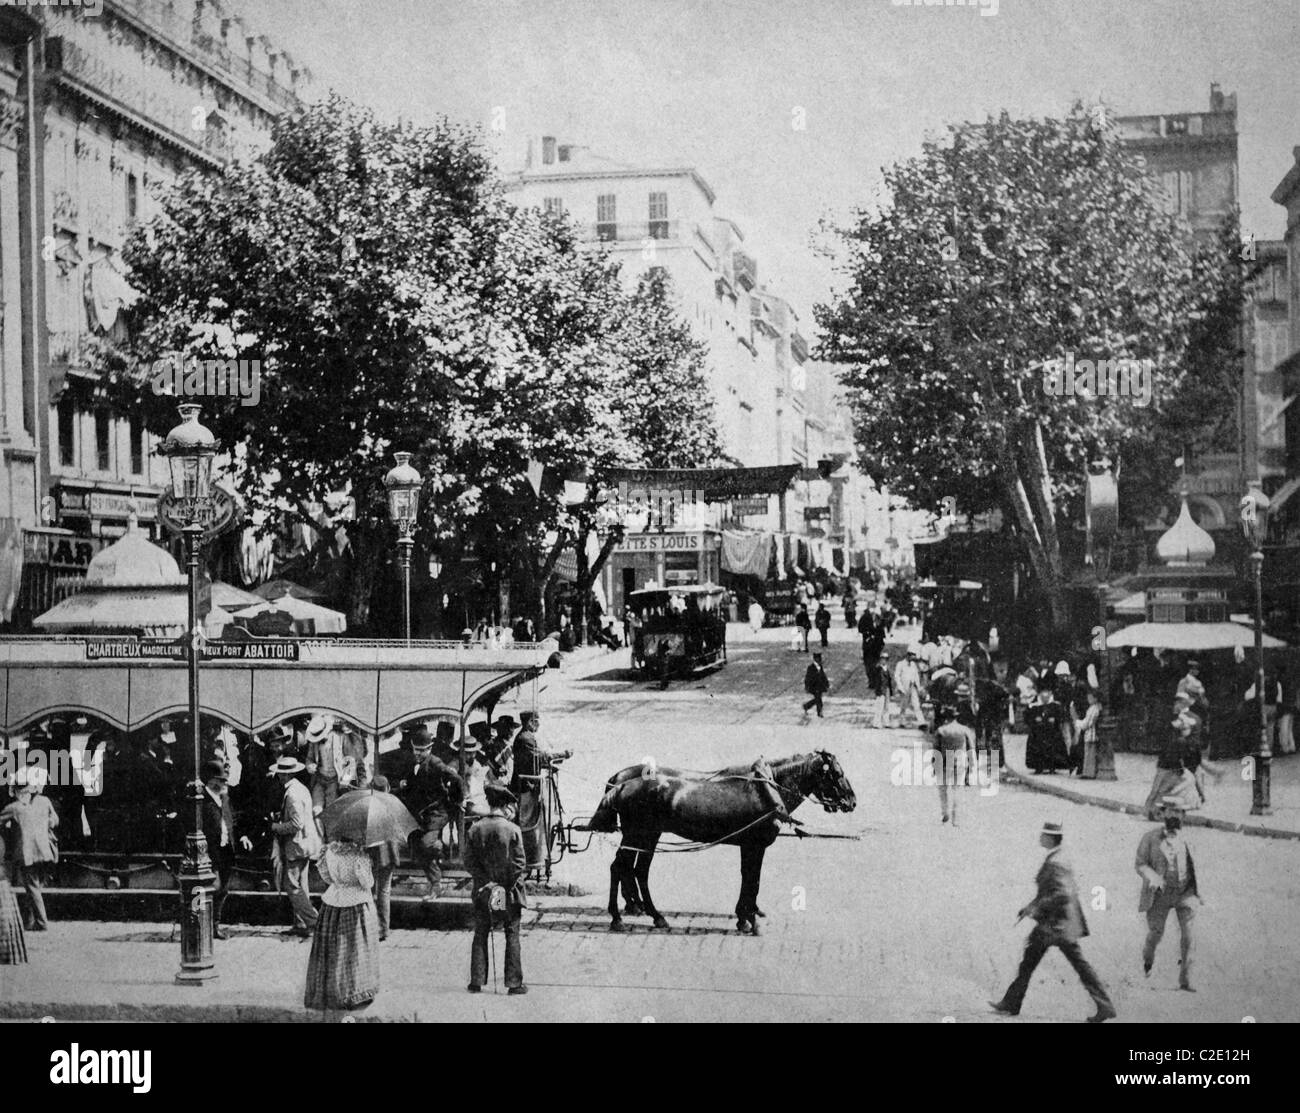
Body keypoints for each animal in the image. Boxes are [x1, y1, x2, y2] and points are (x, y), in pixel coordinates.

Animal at [587, 754, 852, 936]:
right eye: (837, 773)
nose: (852, 801)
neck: (767, 788)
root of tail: (621, 784)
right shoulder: (754, 845)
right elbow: (752, 881)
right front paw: (751, 921)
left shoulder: (749, 846)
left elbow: (748, 878)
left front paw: (744, 916)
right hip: (638, 834)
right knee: (620, 868)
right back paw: (619, 918)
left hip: (646, 836)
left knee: (636, 871)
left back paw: (651, 914)